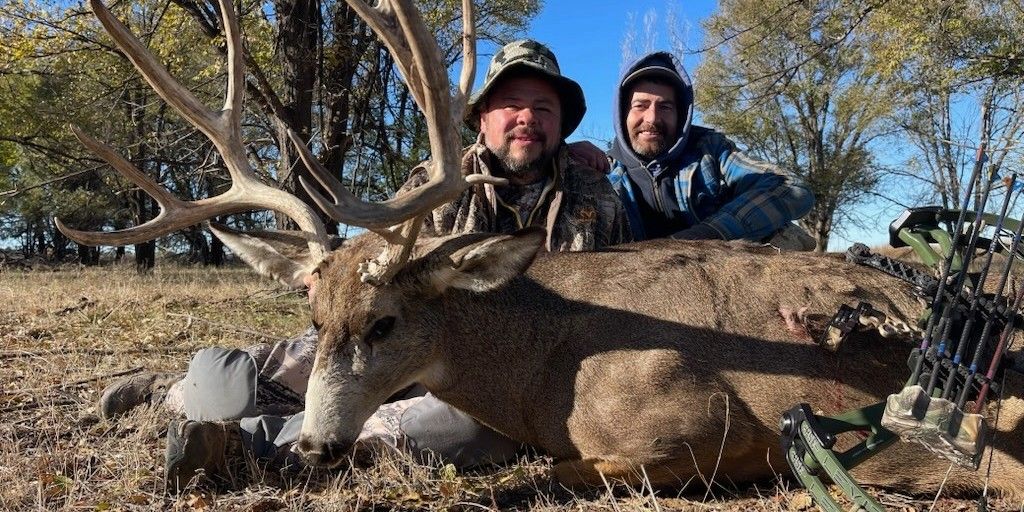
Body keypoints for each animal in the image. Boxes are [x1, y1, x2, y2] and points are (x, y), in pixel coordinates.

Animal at [56, 0, 1024, 501]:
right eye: (314, 313)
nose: (318, 447)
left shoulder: (697, 432)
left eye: (386, 319)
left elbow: (517, 478)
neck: (540, 369)